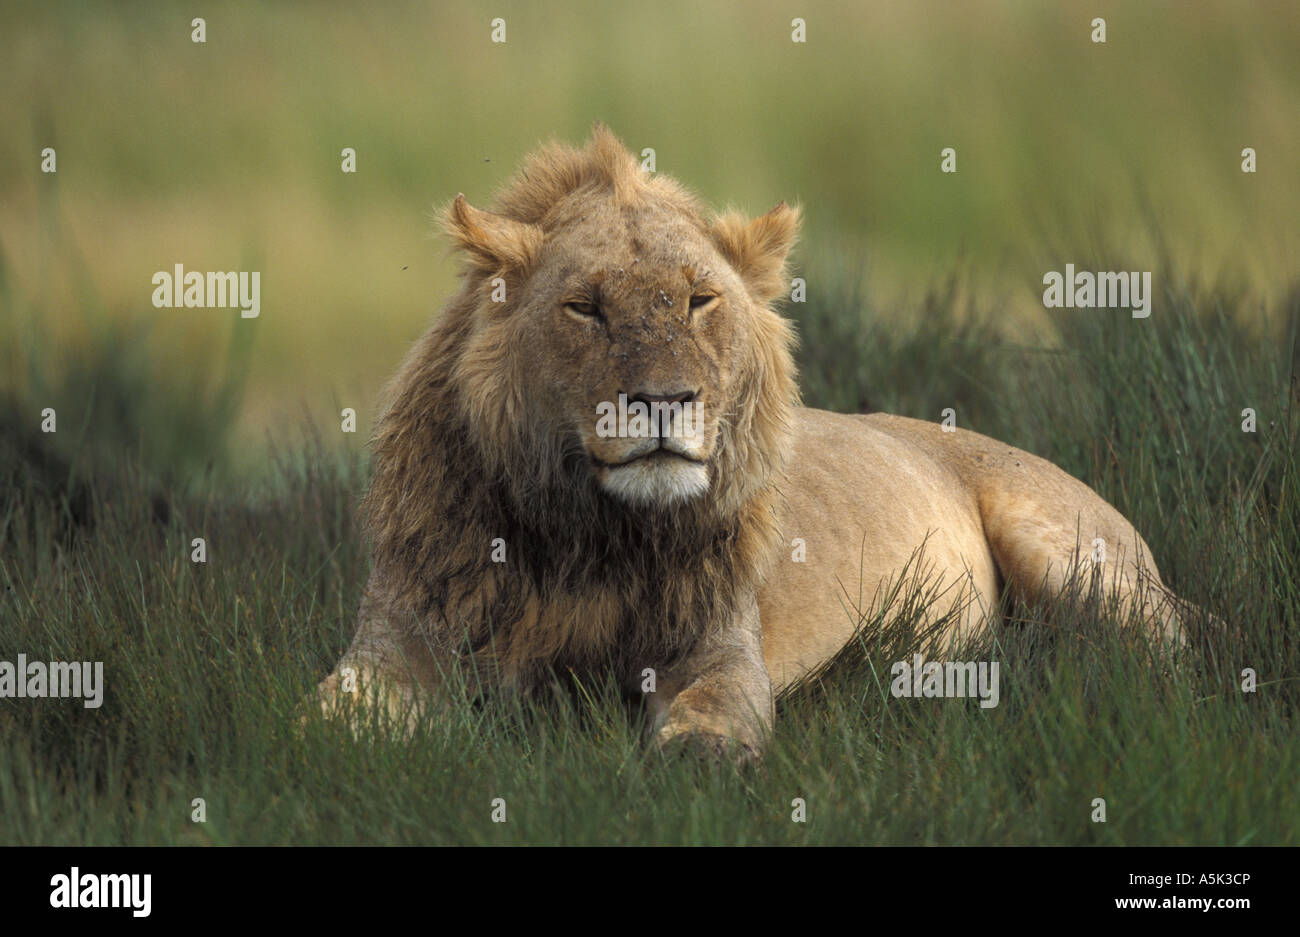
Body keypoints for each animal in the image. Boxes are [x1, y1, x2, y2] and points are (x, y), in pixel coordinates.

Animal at [313, 123, 1196, 760]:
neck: (587, 540)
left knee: (1174, 652)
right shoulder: (392, 647)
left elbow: (714, 718)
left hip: (1073, 556)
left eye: (698, 300)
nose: (663, 401)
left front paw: (690, 758)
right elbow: (318, 725)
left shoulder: (720, 649)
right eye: (584, 307)